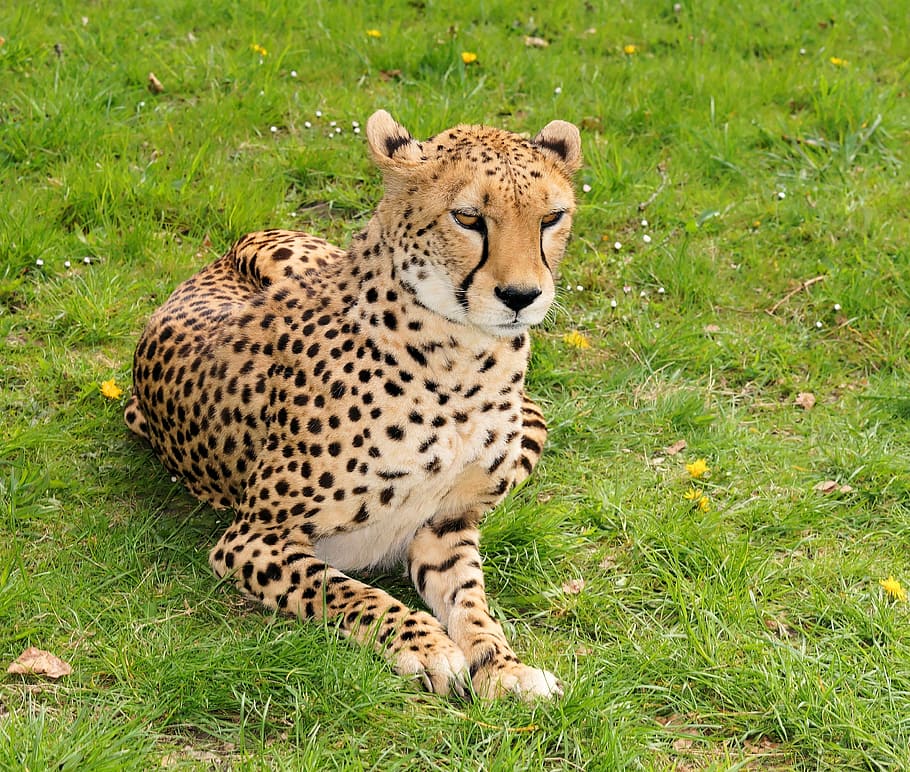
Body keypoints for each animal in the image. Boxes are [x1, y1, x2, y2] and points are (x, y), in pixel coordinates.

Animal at [125, 109, 581, 700]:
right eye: (468, 217)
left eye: (551, 218)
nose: (522, 297)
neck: (464, 362)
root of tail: (231, 246)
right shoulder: (253, 538)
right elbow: (351, 593)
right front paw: (429, 647)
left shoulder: (445, 528)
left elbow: (473, 606)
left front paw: (503, 667)